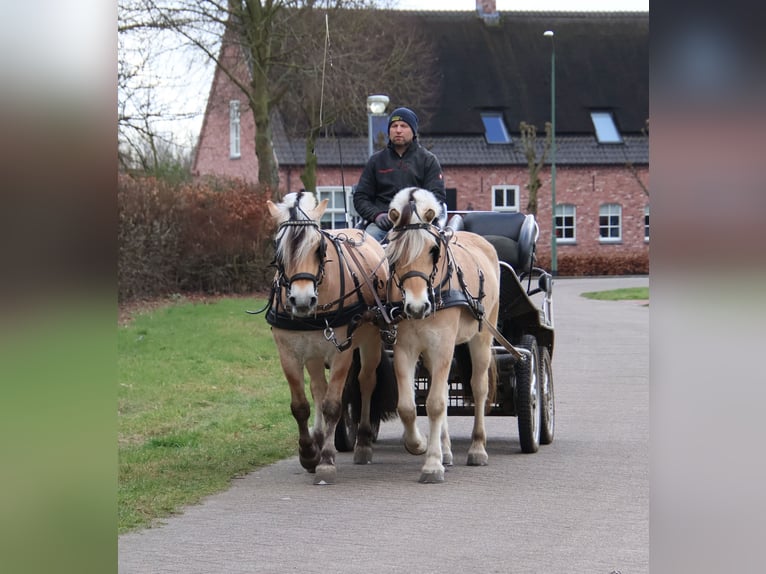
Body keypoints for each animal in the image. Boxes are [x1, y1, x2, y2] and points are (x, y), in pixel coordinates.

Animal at [266, 194, 400, 486]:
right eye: (278, 249)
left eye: (319, 247)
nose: (302, 300)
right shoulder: (288, 353)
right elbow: (301, 406)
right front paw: (308, 453)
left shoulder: (342, 353)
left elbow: (332, 406)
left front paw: (326, 460)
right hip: (314, 353)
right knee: (318, 387)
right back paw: (318, 437)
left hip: (370, 342)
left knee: (365, 383)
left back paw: (363, 442)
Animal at [384, 188, 504, 482]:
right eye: (393, 253)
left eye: (433, 250)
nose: (417, 306)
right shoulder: (405, 349)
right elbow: (408, 406)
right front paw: (419, 445)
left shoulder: (443, 347)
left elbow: (436, 403)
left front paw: (432, 464)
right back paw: (447, 449)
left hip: (482, 337)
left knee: (479, 387)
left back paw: (477, 449)